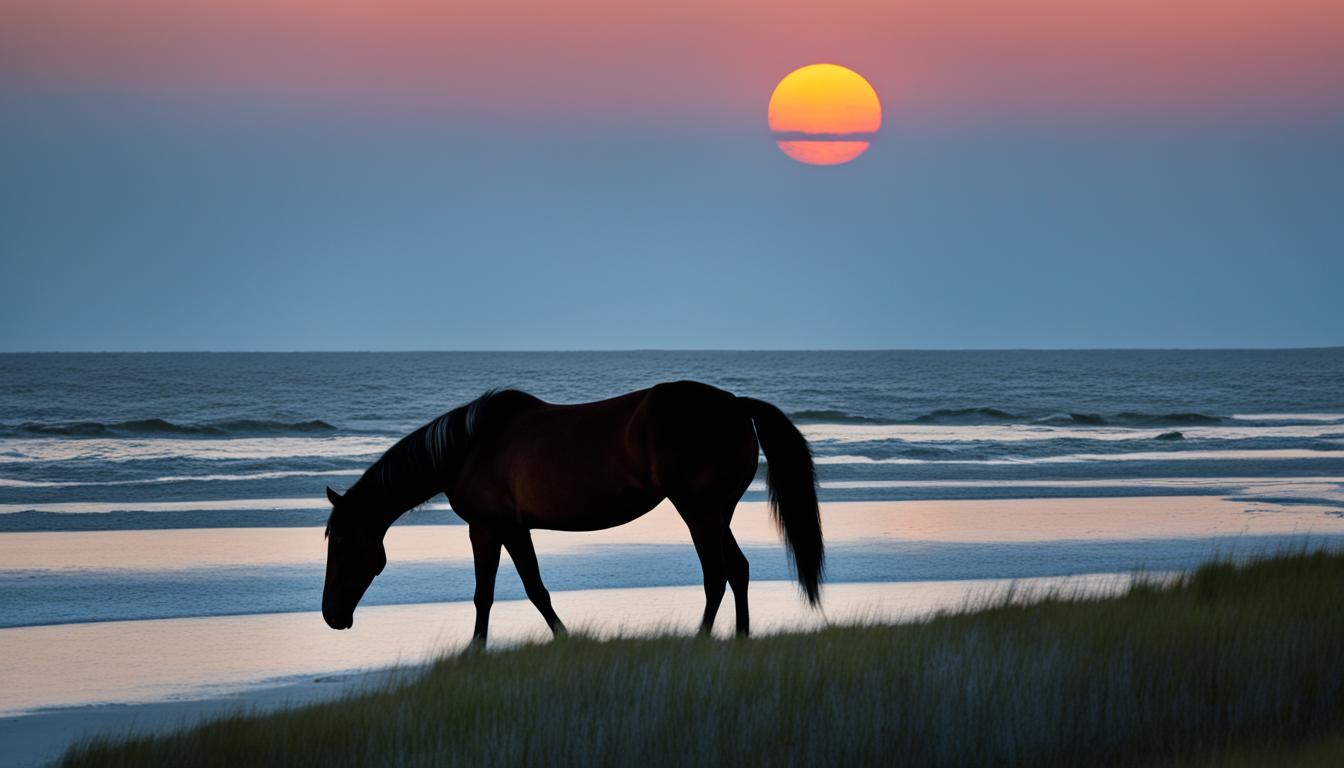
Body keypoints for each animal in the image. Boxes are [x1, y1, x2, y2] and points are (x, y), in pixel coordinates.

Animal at [321, 381, 822, 645]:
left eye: (342, 542)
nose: (330, 616)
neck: (469, 447)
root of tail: (735, 404)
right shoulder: (511, 529)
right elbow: (529, 590)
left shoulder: (490, 528)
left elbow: (496, 593)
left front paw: (477, 651)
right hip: (719, 512)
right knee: (738, 569)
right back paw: (740, 638)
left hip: (698, 511)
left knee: (716, 574)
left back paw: (700, 639)